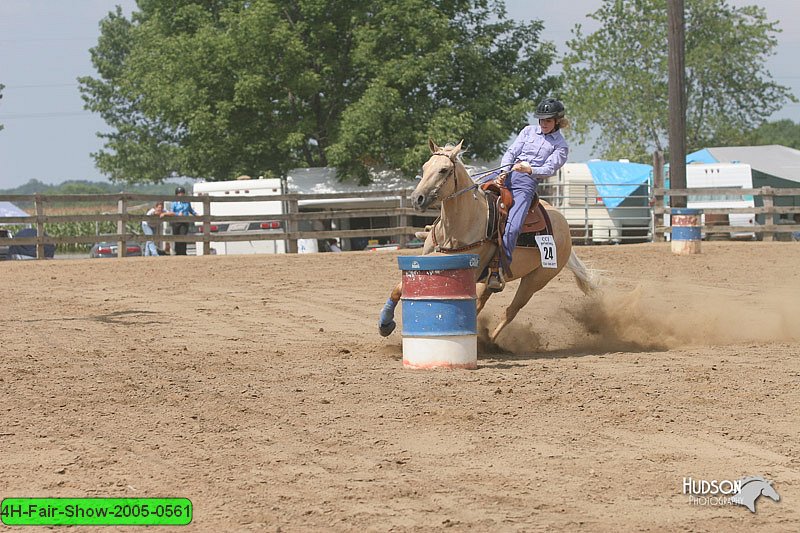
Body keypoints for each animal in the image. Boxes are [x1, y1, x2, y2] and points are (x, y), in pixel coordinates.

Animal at [378, 139, 596, 342]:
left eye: (444, 170)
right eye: (424, 167)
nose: (417, 198)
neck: (459, 225)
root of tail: (563, 225)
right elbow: (399, 289)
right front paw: (385, 324)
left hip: (536, 279)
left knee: (510, 311)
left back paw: (491, 342)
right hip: (493, 278)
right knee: (482, 302)